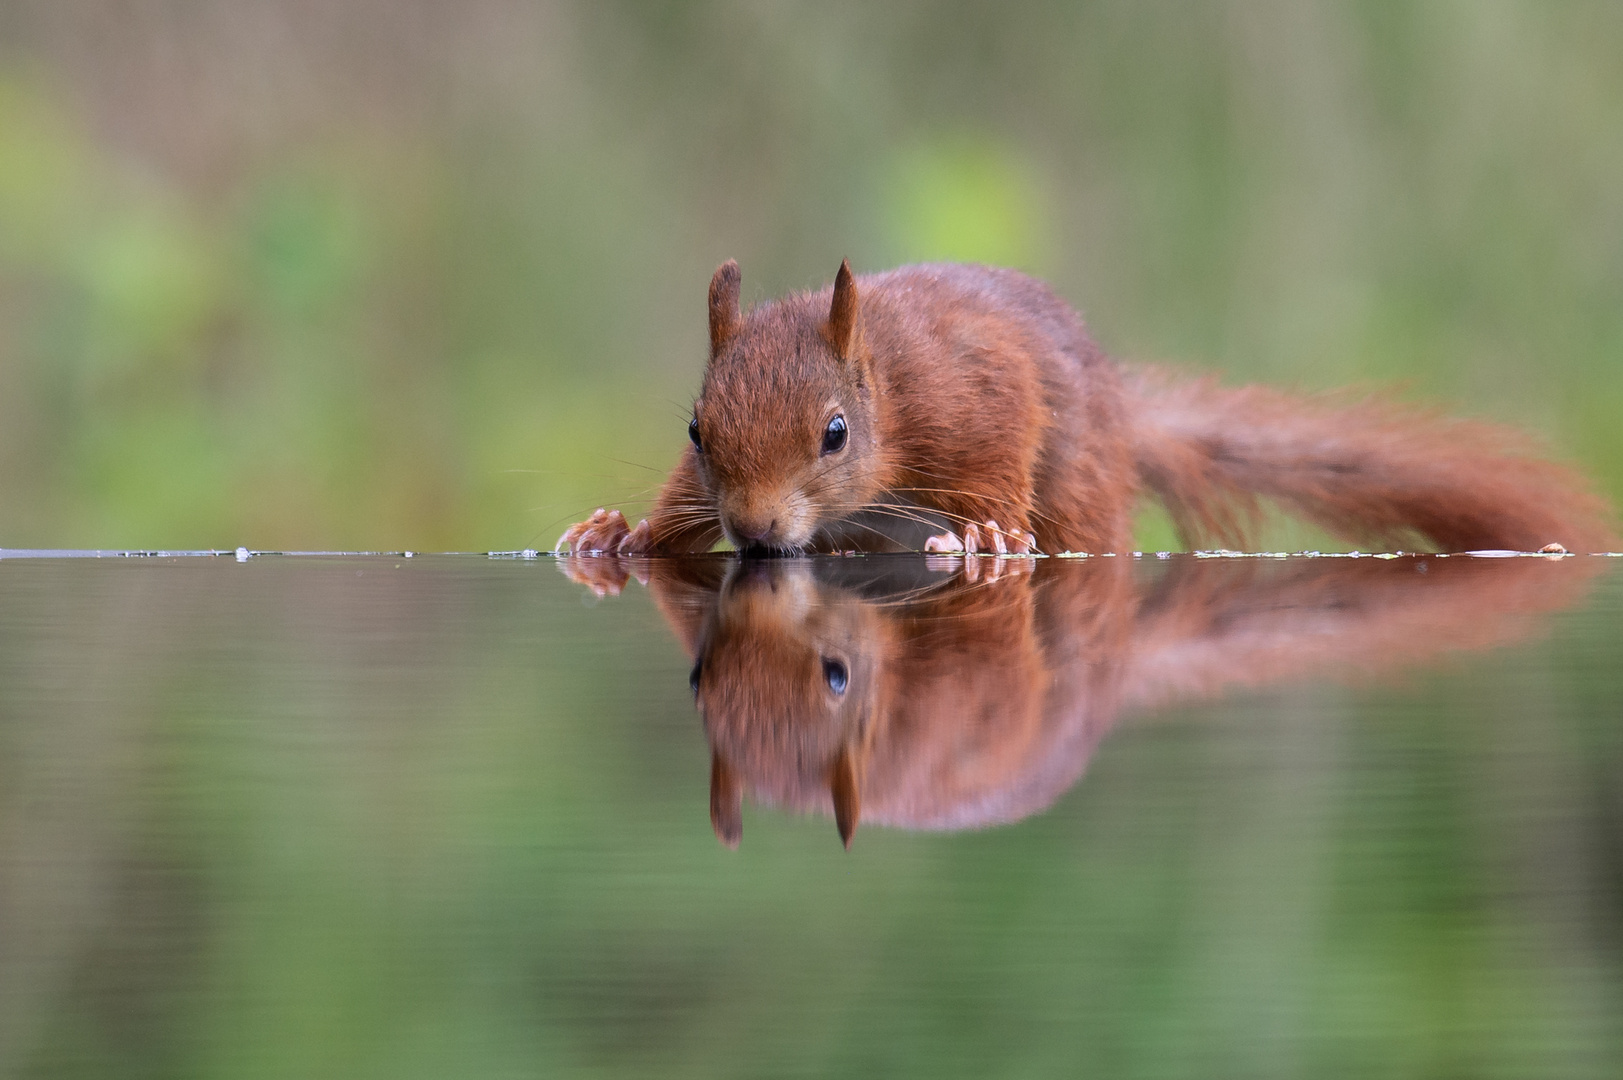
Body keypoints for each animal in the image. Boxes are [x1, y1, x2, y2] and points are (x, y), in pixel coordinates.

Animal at [555, 256, 1610, 552]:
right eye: (696, 432)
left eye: (834, 434)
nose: (755, 530)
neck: (887, 373)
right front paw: (619, 534)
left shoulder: (975, 393)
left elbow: (995, 455)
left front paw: (985, 537)